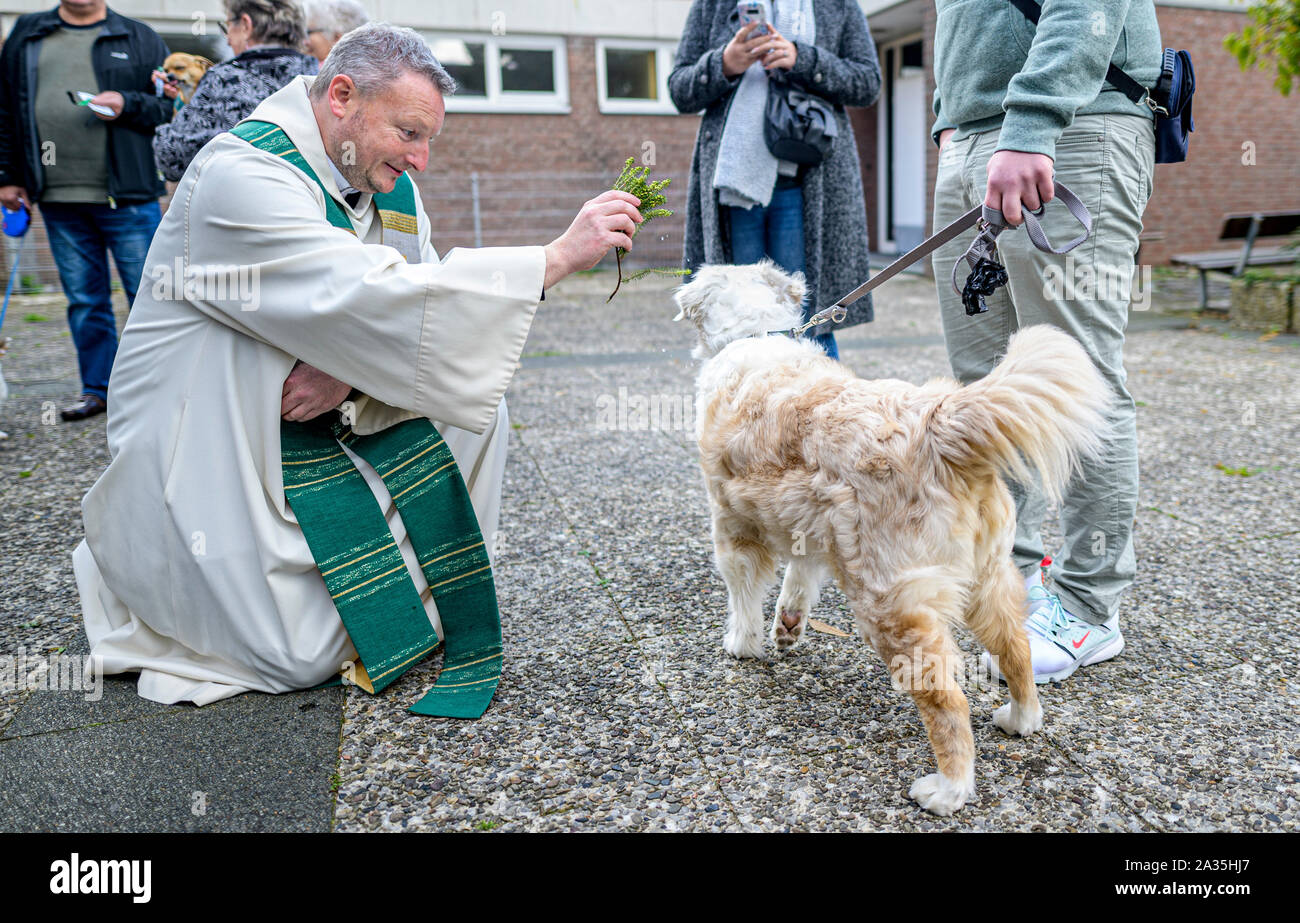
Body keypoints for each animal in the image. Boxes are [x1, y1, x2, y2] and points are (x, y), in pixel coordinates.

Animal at [676, 260, 1112, 816]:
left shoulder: (731, 525)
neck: (756, 336)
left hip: (890, 605)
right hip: (989, 578)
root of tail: (940, 424)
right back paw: (1021, 719)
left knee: (947, 698)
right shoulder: (809, 525)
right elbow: (800, 577)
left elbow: (743, 593)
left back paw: (949, 789)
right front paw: (788, 625)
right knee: (1015, 649)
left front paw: (743, 642)